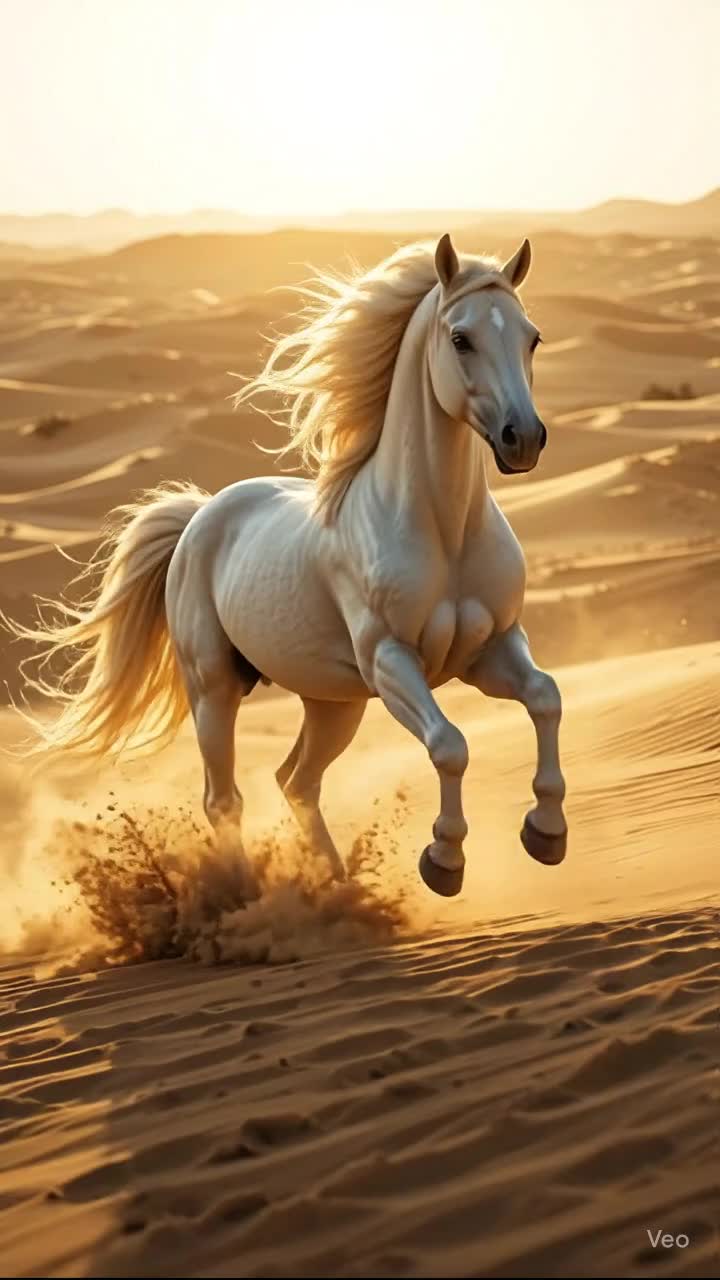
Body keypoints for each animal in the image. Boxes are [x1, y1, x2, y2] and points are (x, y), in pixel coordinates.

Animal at [9, 233, 567, 899]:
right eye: (461, 338)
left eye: (532, 336)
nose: (522, 439)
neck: (443, 531)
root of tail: (199, 516)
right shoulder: (392, 662)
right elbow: (449, 744)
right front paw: (443, 859)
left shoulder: (492, 648)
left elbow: (546, 697)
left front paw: (546, 833)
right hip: (215, 689)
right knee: (225, 798)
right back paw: (245, 895)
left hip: (333, 701)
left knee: (297, 782)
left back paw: (339, 886)